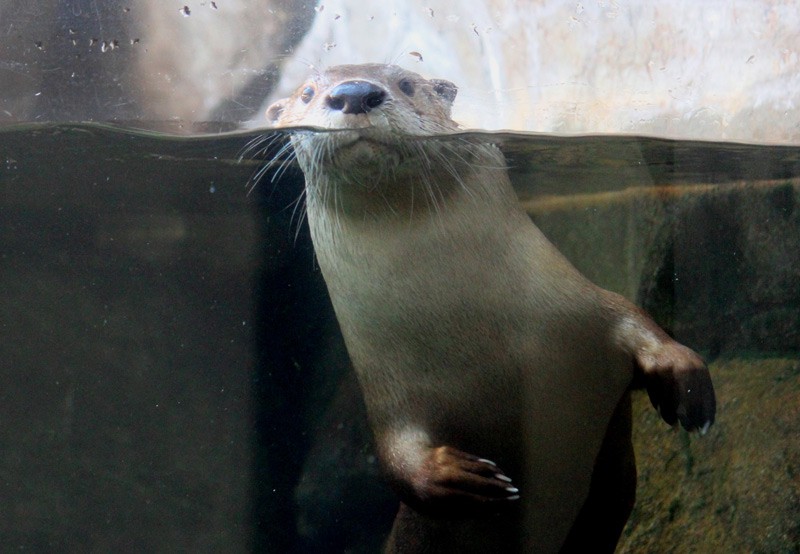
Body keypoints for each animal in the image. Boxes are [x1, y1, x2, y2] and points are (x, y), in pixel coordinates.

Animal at [266, 64, 715, 553]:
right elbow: (396, 460)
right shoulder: (390, 399)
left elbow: (636, 320)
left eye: (406, 83)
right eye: (307, 93)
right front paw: (461, 479)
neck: (478, 339)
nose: (353, 93)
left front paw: (687, 387)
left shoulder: (585, 310)